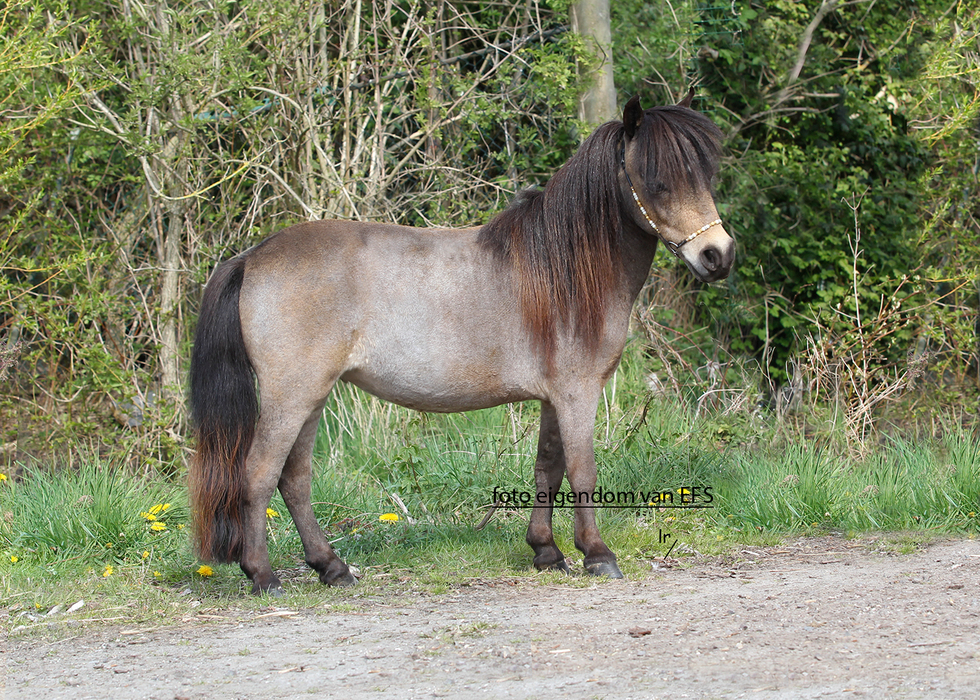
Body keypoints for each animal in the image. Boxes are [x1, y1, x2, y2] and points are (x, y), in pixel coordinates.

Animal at [189, 94, 735, 595]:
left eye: (706, 176)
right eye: (657, 181)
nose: (719, 256)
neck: (563, 271)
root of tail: (251, 256)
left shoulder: (553, 397)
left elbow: (548, 468)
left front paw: (546, 551)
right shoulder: (577, 393)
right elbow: (582, 472)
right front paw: (597, 554)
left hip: (312, 396)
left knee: (294, 479)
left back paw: (332, 567)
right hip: (292, 394)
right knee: (259, 474)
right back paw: (263, 576)